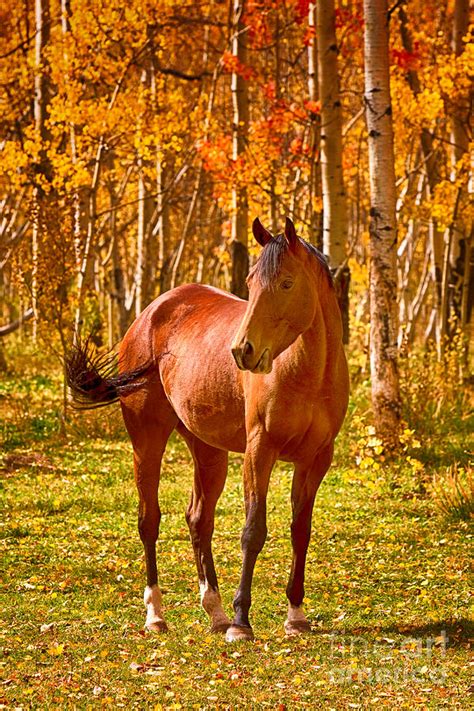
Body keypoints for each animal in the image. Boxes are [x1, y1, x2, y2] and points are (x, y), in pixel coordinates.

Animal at [65, 217, 348, 640]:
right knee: (149, 521)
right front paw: (242, 622)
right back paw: (157, 615)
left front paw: (295, 615)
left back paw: (215, 612)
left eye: (286, 283)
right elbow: (253, 531)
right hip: (147, 442)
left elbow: (301, 530)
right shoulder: (259, 451)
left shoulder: (316, 459)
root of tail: (151, 313)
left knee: (199, 519)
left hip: (207, 450)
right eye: (250, 282)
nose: (243, 350)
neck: (308, 374)